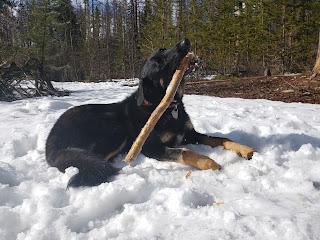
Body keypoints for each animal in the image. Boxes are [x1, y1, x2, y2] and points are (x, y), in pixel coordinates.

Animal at [45, 38, 255, 188]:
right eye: (161, 64)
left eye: (163, 49)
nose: (185, 41)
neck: (168, 106)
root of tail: (52, 140)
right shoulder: (151, 148)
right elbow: (185, 152)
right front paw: (211, 163)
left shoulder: (190, 134)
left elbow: (221, 139)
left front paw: (244, 149)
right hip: (114, 130)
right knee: (98, 162)